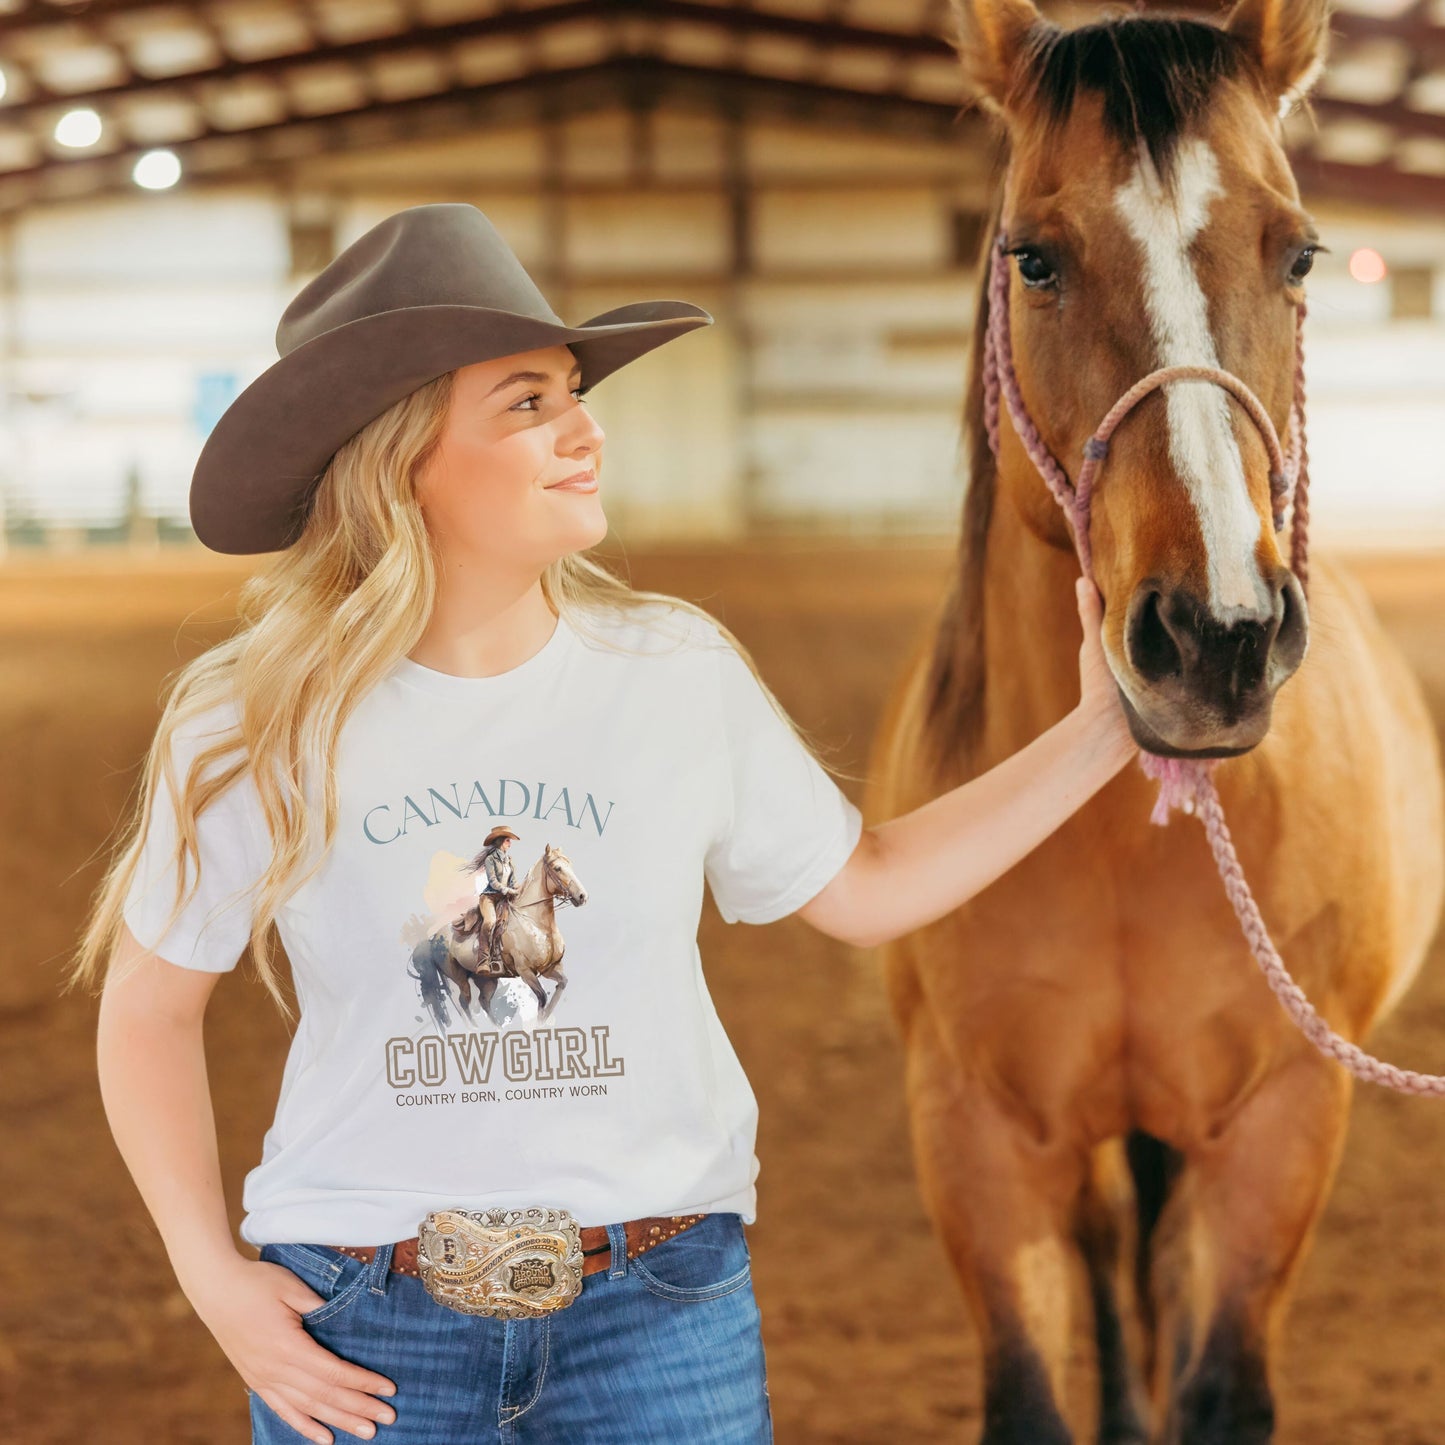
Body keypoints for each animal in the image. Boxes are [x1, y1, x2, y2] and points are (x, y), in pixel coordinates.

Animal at [407, 843, 586, 1034]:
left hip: (486, 980)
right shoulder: (525, 971)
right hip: (459, 978)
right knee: (464, 1003)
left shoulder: (551, 968)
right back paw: (474, 1030)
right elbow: (542, 998)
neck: (533, 922)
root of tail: (434, 938)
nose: (582, 896)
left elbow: (560, 986)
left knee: (484, 1001)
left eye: (570, 864)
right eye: (557, 868)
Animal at [861, 2, 1445, 1445]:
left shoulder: (1281, 1121)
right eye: (1031, 258)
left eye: (1298, 253)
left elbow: (1219, 1377)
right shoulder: (977, 1133)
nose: (1216, 637)